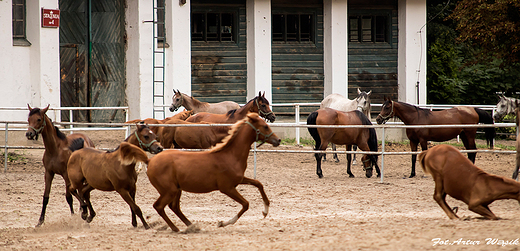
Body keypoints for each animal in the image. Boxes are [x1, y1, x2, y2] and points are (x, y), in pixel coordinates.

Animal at [146, 113, 280, 231]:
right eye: (265, 126)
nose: (278, 140)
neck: (230, 155)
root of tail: (150, 161)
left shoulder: (239, 180)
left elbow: (258, 184)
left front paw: (265, 211)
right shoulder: (227, 188)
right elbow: (246, 204)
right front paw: (222, 223)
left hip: (176, 190)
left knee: (174, 207)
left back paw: (192, 225)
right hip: (169, 191)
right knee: (158, 206)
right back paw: (176, 228)